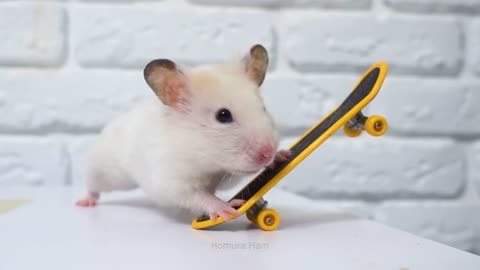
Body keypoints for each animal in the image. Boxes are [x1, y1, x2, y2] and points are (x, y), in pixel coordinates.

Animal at [77, 44, 290, 221]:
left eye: (263, 108)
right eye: (223, 116)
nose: (267, 153)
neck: (207, 159)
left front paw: (282, 156)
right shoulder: (172, 182)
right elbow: (199, 196)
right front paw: (227, 208)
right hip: (104, 171)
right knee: (92, 186)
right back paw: (85, 202)